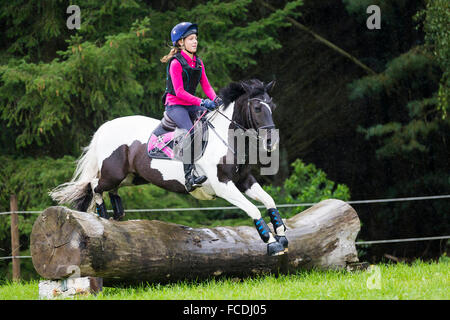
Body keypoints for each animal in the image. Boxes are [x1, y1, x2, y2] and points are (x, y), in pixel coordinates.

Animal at [50, 80, 288, 258]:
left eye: (274, 107)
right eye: (257, 108)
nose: (272, 142)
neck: (227, 138)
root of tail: (104, 127)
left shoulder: (244, 180)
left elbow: (269, 201)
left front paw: (281, 233)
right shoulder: (223, 185)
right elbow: (253, 209)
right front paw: (272, 242)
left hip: (132, 177)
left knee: (110, 189)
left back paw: (117, 214)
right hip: (113, 173)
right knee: (94, 185)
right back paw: (103, 216)